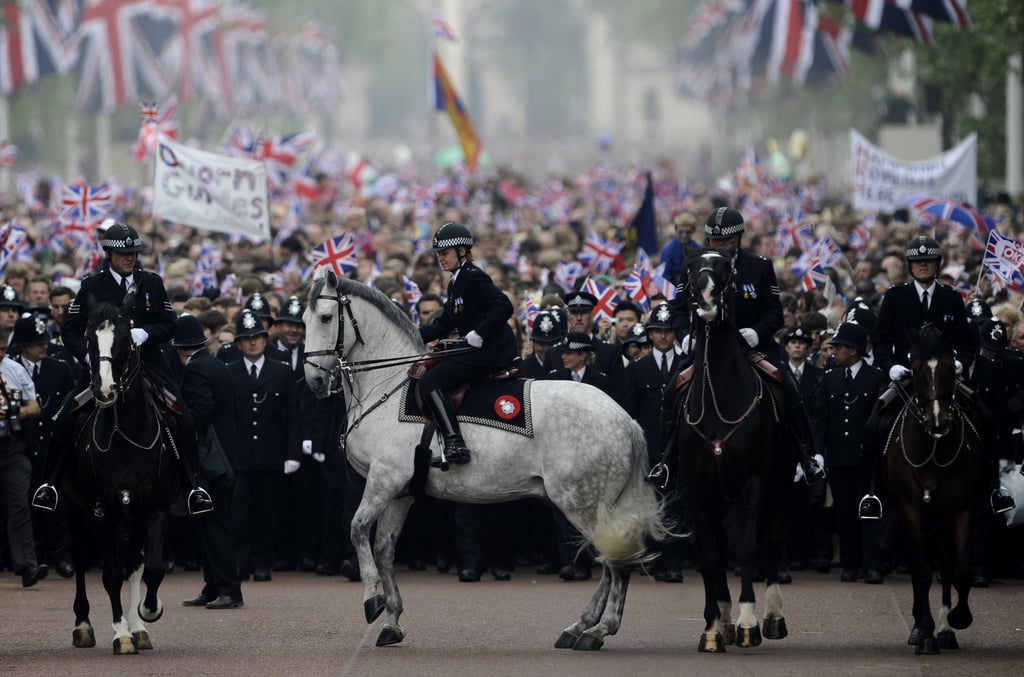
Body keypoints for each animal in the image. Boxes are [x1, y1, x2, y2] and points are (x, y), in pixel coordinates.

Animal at [59, 303, 185, 651]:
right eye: (89, 339)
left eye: (126, 339)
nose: (104, 390)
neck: (125, 434)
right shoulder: (104, 511)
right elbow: (111, 574)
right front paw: (121, 633)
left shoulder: (154, 507)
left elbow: (151, 568)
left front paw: (147, 613)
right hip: (78, 510)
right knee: (81, 557)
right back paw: (83, 625)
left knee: (136, 563)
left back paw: (138, 626)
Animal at [675, 247, 794, 651]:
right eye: (690, 268)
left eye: (728, 270)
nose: (706, 297)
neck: (717, 396)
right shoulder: (697, 488)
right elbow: (711, 553)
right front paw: (714, 627)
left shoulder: (754, 483)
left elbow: (747, 546)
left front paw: (747, 622)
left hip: (779, 485)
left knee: (771, 539)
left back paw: (772, 616)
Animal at [884, 325, 987, 651]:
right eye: (915, 369)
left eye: (949, 367)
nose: (938, 423)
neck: (933, 449)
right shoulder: (909, 510)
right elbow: (921, 571)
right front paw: (924, 631)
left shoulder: (962, 508)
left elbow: (959, 569)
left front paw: (956, 619)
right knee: (923, 565)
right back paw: (921, 627)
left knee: (945, 564)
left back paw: (944, 629)